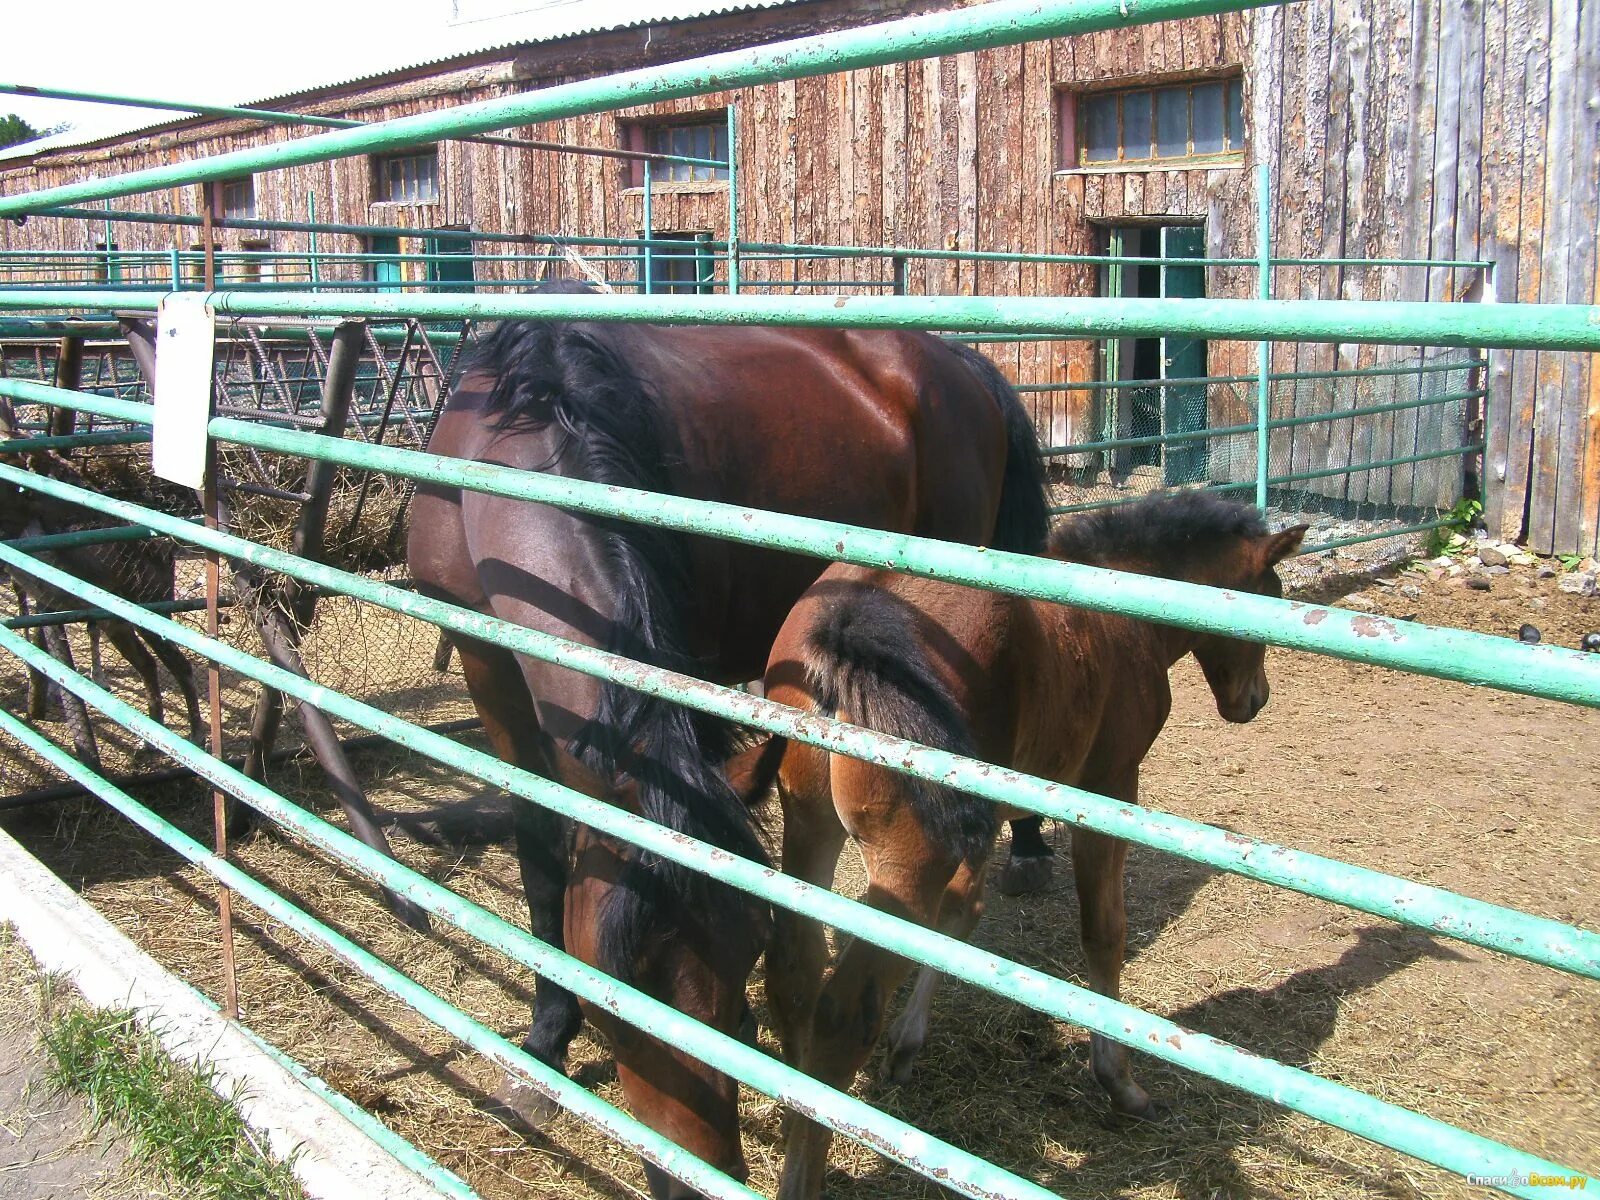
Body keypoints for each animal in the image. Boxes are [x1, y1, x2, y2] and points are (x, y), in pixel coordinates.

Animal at [409, 284, 1049, 1200]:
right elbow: (539, 851)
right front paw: (544, 1041)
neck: (520, 431)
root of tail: (959, 361)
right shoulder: (488, 668)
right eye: (613, 1004)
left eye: (742, 958)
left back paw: (1029, 846)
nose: (699, 1175)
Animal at [742, 492, 1305, 1196]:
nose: (1253, 700)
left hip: (810, 827)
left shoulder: (979, 819)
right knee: (845, 1013)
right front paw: (1121, 1082)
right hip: (904, 862)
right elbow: (1103, 933)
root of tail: (847, 626)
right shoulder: (1109, 787)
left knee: (794, 969)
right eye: (1274, 598)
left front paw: (908, 1046)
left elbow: (959, 919)